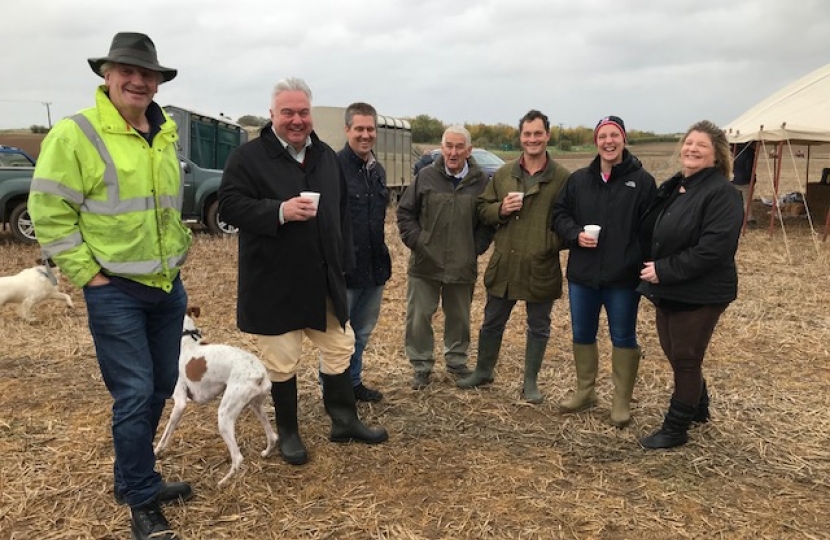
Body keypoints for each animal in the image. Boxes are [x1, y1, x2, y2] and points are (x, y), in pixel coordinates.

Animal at [158, 306, 282, 488]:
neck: (187, 341)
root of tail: (259, 373)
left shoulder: (180, 402)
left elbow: (166, 432)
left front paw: (156, 451)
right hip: (256, 406)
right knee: (272, 436)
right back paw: (265, 453)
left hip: (225, 414)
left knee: (238, 458)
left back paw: (223, 482)